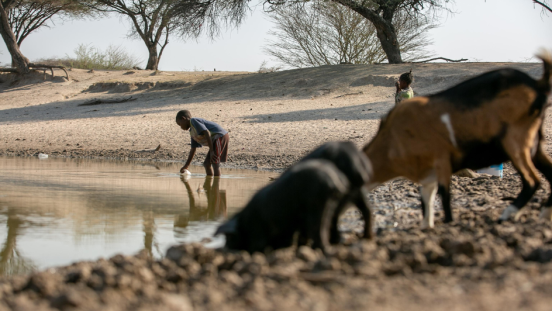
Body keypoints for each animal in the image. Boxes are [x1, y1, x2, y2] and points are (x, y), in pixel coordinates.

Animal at [362, 50, 552, 228]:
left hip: (515, 142)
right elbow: (427, 200)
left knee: (532, 181)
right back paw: (542, 214)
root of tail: (536, 84)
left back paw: (508, 214)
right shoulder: (428, 174)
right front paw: (426, 226)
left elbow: (445, 198)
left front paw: (447, 224)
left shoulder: (441, 161)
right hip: (534, 144)